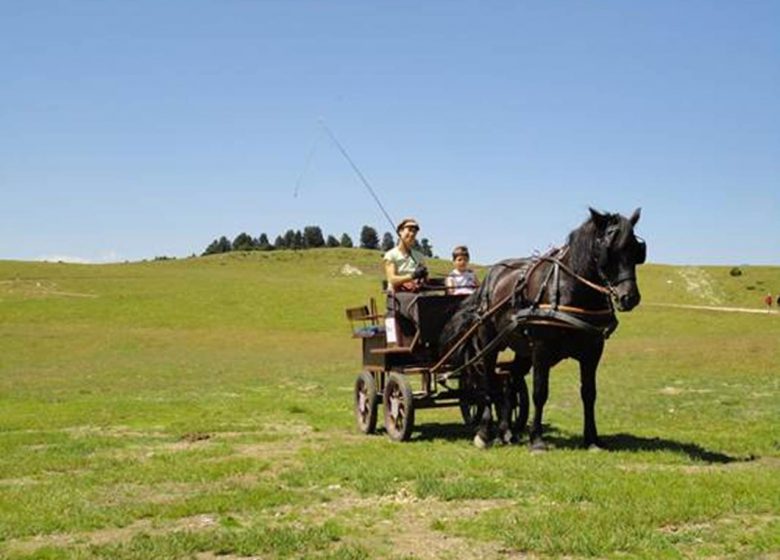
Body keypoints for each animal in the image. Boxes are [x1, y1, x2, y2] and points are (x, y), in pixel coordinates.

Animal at [438, 208, 644, 448]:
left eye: (636, 251)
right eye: (608, 251)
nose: (629, 297)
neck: (569, 289)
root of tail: (488, 281)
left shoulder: (592, 351)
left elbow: (589, 393)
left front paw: (592, 439)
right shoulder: (541, 349)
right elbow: (540, 392)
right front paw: (536, 439)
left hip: (521, 349)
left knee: (509, 385)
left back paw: (506, 431)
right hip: (489, 344)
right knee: (488, 383)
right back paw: (485, 433)